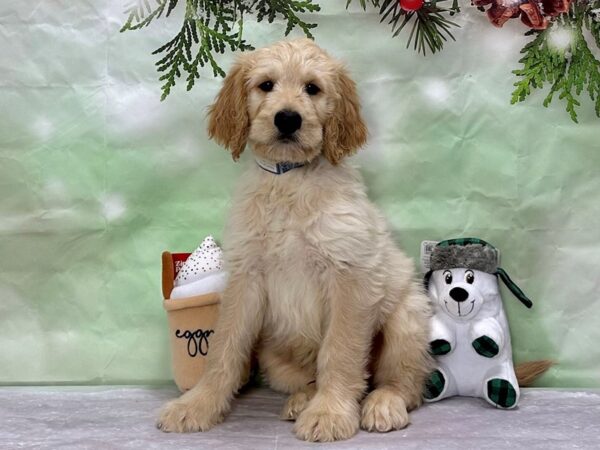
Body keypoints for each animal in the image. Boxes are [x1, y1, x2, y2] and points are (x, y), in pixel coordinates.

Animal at [157, 38, 434, 442]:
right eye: (266, 85)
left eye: (313, 89)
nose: (288, 119)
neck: (289, 180)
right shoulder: (246, 278)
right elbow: (224, 349)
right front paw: (197, 404)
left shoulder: (349, 275)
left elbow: (340, 351)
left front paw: (330, 412)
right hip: (275, 357)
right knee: (309, 377)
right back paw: (303, 398)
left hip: (407, 319)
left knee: (405, 383)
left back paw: (383, 403)